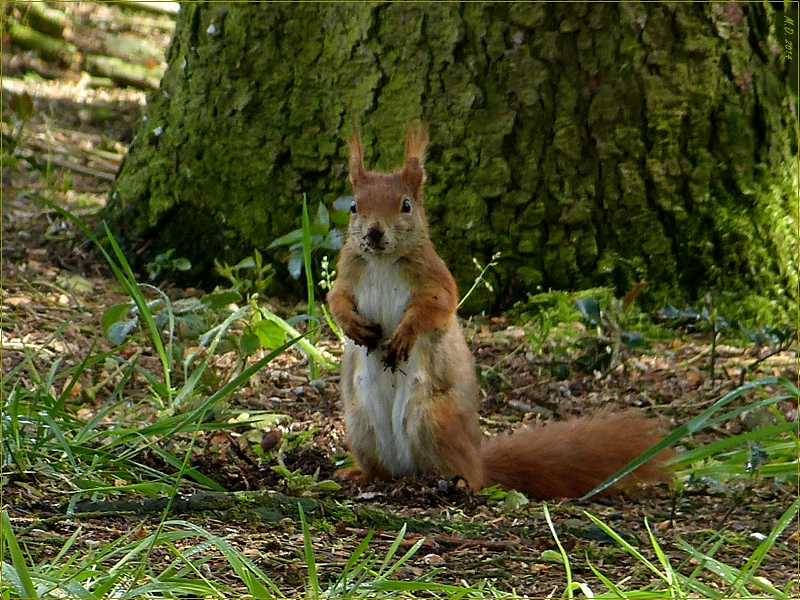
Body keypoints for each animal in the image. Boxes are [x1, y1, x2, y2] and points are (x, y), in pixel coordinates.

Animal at [324, 125, 668, 496]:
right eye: (354, 206)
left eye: (406, 205)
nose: (374, 232)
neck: (382, 260)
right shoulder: (348, 275)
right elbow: (336, 300)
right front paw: (351, 324)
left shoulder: (436, 279)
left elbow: (437, 307)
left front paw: (405, 334)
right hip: (360, 424)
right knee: (382, 469)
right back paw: (361, 475)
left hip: (433, 418)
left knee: (465, 474)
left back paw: (456, 482)